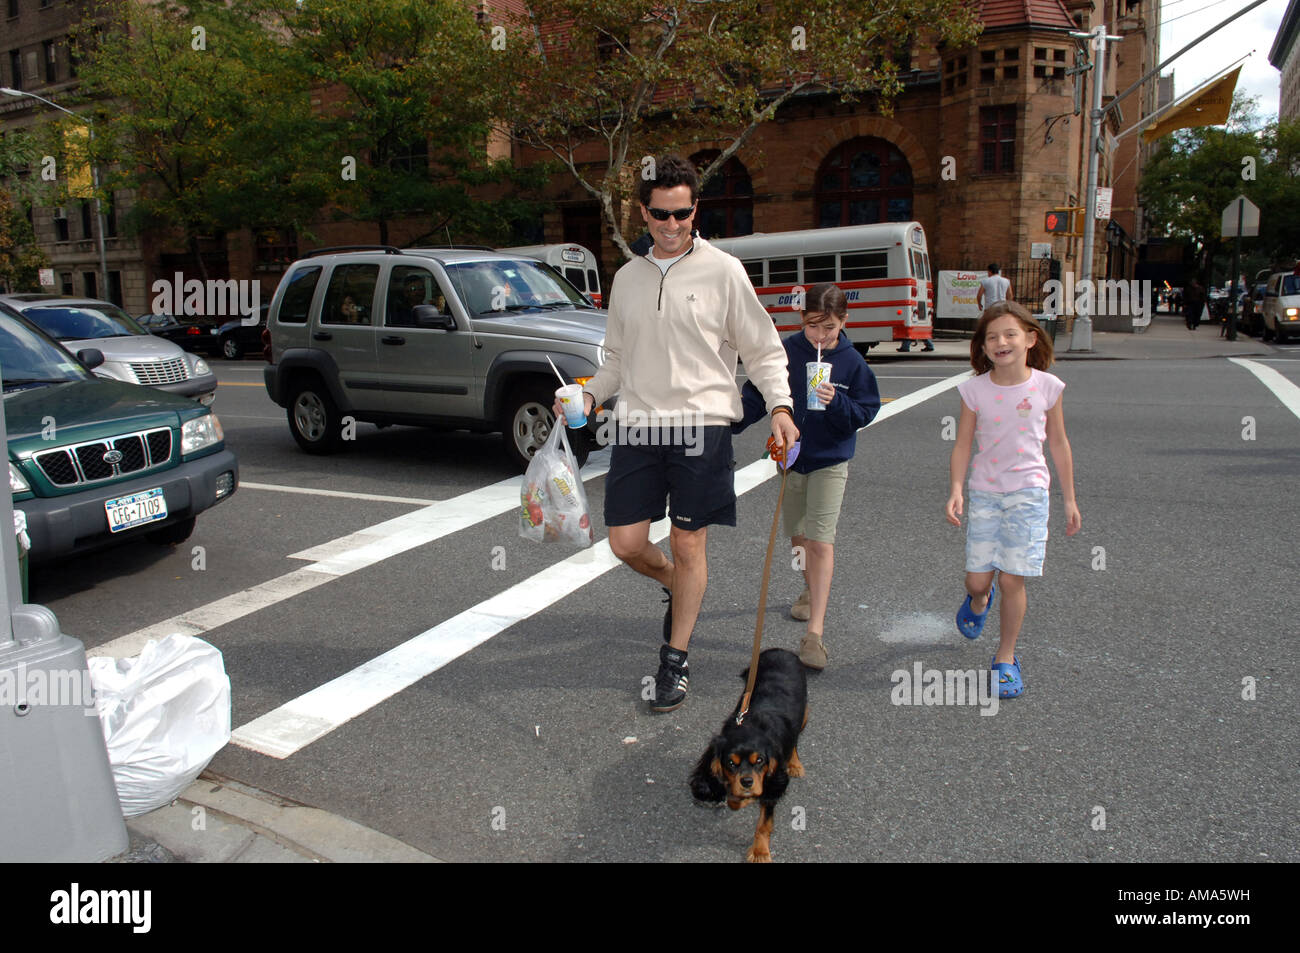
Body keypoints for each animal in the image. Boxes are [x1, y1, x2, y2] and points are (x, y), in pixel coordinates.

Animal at [691, 647, 800, 863]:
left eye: (759, 760)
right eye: (731, 763)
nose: (747, 782)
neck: (752, 725)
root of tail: (779, 650)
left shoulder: (773, 781)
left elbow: (764, 822)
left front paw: (760, 852)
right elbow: (734, 797)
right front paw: (738, 797)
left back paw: (795, 764)